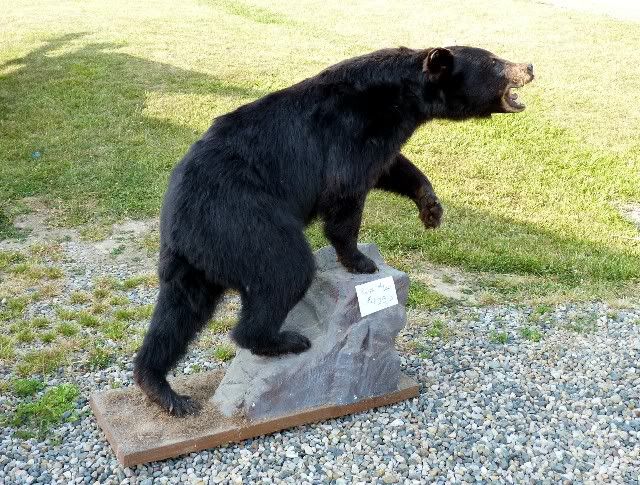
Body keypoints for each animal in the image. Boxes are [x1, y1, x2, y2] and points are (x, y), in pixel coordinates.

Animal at [133, 46, 534, 416]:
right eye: (495, 61)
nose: (529, 65)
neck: (401, 98)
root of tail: (182, 225)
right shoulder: (352, 130)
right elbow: (347, 191)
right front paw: (359, 260)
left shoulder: (383, 135)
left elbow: (392, 166)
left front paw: (431, 208)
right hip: (243, 221)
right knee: (285, 271)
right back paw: (284, 340)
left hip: (194, 259)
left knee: (178, 314)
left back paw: (162, 388)